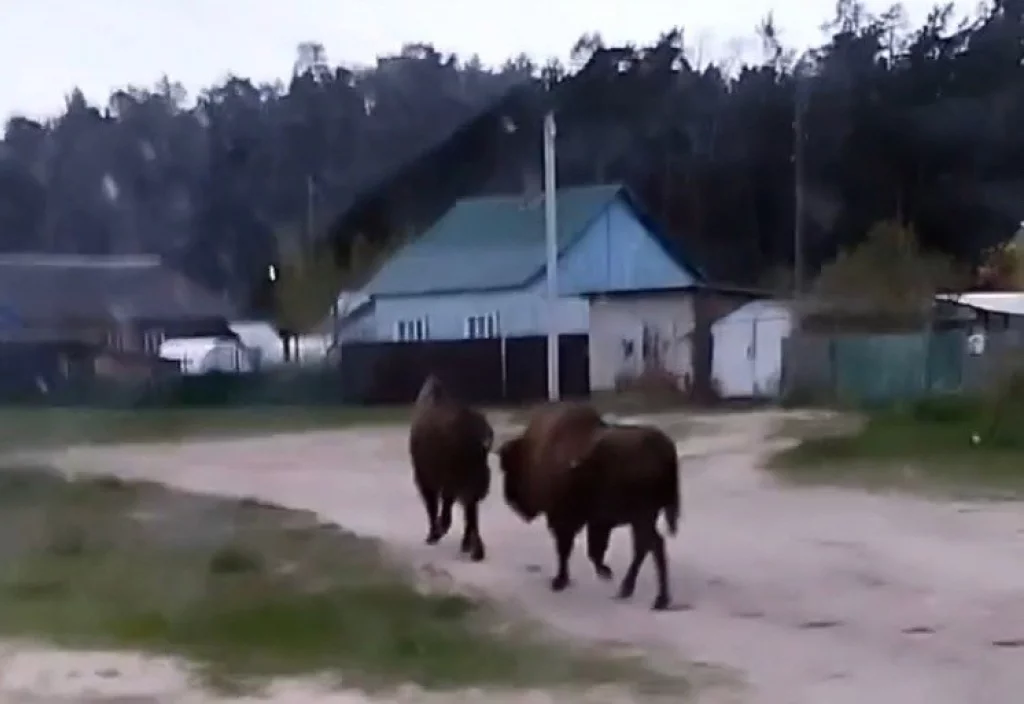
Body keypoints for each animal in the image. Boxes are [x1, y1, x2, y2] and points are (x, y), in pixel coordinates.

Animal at [407, 374, 491, 560]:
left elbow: (434, 507)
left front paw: (433, 534)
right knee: (469, 510)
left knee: (456, 509)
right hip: (468, 483)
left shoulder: (426, 479)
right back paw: (474, 548)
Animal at [495, 407, 679, 609]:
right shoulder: (596, 522)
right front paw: (604, 572)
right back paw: (631, 591)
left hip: (642, 517)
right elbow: (593, 550)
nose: (511, 500)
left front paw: (560, 581)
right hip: (643, 519)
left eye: (508, 467)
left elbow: (567, 550)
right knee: (646, 546)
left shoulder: (564, 520)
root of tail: (664, 448)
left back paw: (658, 598)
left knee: (652, 545)